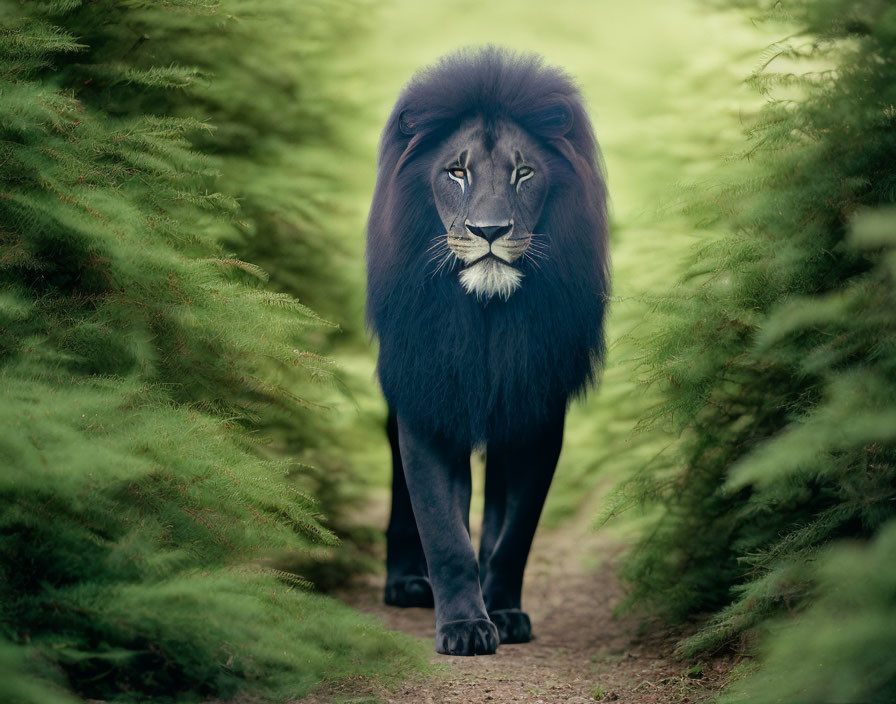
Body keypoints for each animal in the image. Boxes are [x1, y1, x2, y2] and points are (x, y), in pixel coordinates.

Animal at [364, 48, 608, 656]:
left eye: (524, 173)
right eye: (457, 172)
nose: (490, 230)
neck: (488, 316)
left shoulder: (537, 413)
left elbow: (513, 533)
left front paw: (504, 612)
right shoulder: (428, 398)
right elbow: (444, 532)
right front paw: (464, 627)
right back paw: (406, 582)